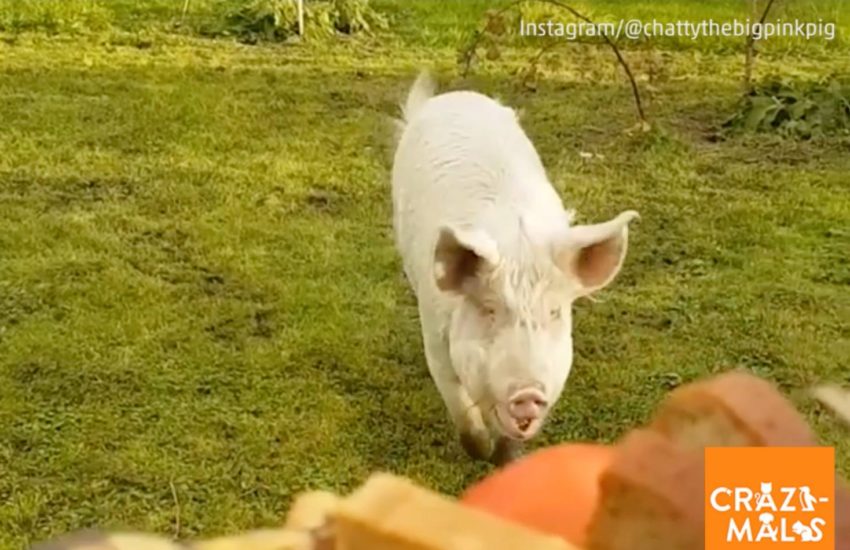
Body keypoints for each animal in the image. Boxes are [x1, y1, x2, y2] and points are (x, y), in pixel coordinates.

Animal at [391, 71, 639, 464]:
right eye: (490, 311)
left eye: (554, 313)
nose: (528, 394)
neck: (519, 251)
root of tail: (454, 96)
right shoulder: (433, 328)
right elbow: (456, 398)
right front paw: (480, 452)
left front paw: (505, 460)